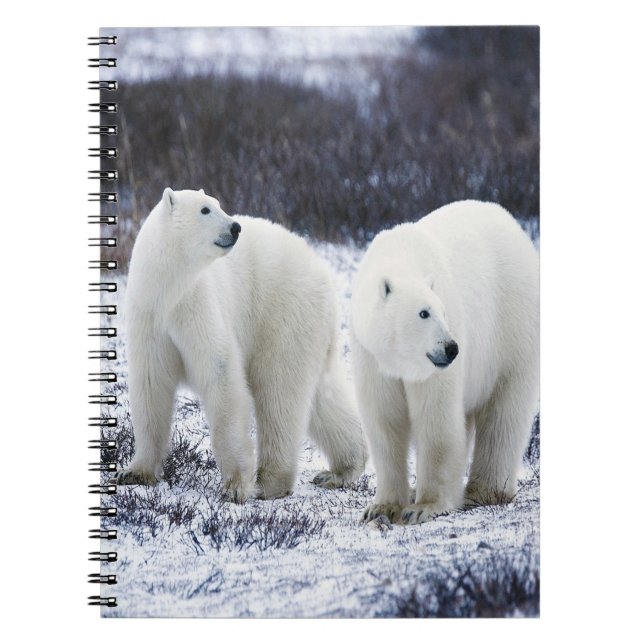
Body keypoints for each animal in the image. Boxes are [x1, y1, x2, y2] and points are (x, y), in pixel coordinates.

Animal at [115, 188, 366, 502]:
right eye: (205, 209)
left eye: (218, 204)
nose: (235, 227)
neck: (169, 289)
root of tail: (321, 268)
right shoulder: (149, 317)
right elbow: (151, 386)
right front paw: (134, 472)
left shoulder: (198, 304)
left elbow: (221, 375)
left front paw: (235, 486)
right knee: (323, 397)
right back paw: (341, 470)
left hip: (283, 312)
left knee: (279, 391)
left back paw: (270, 482)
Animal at [350, 200, 539, 525]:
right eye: (424, 313)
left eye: (443, 311)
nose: (452, 348)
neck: (400, 255)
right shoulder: (372, 357)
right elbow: (384, 420)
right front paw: (381, 508)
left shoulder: (434, 369)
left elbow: (436, 419)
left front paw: (423, 507)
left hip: (512, 326)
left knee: (504, 412)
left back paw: (485, 491)